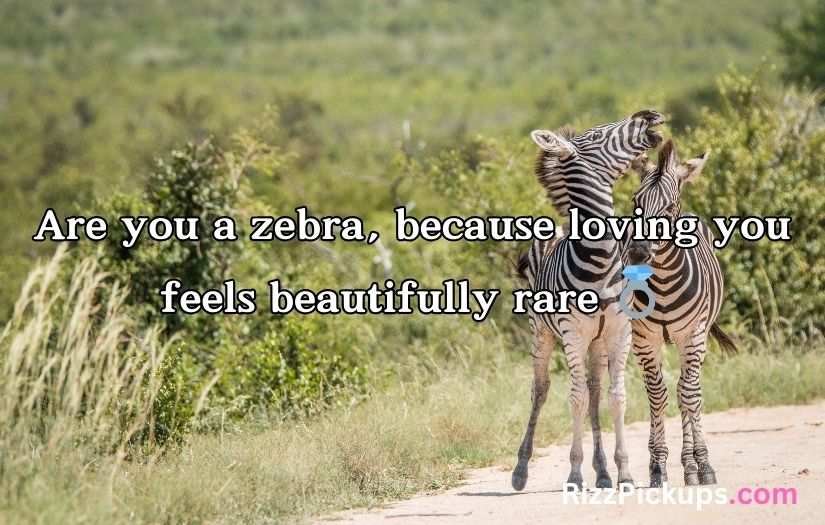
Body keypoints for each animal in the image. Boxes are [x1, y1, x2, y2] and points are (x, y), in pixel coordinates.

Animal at [511, 110, 665, 492]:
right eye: (595, 135)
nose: (650, 115)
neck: (600, 258)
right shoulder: (573, 333)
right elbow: (575, 398)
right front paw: (575, 473)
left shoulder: (619, 332)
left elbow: (616, 398)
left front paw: (623, 472)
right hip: (543, 334)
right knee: (541, 390)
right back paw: (521, 470)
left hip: (597, 342)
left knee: (596, 392)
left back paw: (604, 472)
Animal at [623, 139, 737, 487]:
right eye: (635, 202)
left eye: (669, 207)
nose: (637, 253)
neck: (660, 283)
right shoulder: (644, 339)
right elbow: (657, 395)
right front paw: (658, 466)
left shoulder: (693, 334)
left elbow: (689, 395)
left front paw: (703, 464)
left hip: (692, 340)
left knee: (689, 390)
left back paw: (692, 465)